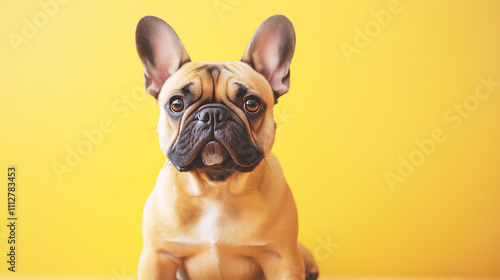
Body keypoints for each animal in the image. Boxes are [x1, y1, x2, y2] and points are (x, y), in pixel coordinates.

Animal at [135, 15, 318, 280]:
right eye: (177, 104)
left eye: (251, 104)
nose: (212, 114)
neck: (216, 189)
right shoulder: (157, 257)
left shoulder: (282, 258)